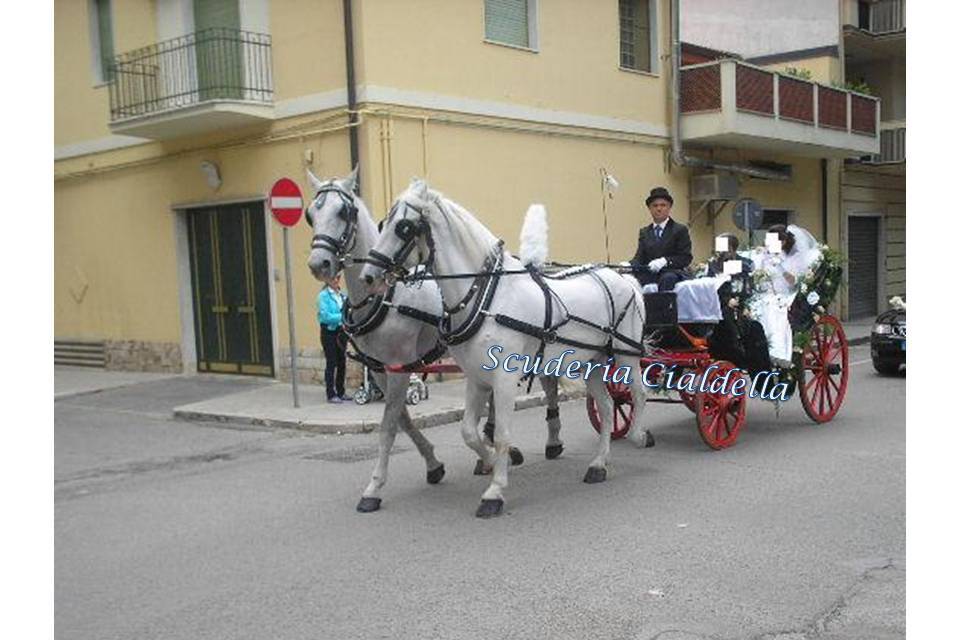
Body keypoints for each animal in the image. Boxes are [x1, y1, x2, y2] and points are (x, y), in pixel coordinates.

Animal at [306, 171, 564, 516]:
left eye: (343, 212)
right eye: (310, 215)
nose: (319, 263)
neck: (387, 298)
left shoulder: (399, 366)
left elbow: (389, 426)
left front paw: (374, 487)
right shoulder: (380, 370)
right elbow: (402, 419)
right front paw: (433, 463)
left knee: (548, 385)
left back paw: (550, 441)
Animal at [360, 178, 652, 516]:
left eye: (404, 227)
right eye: (384, 224)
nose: (368, 276)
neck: (489, 298)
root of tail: (622, 278)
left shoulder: (504, 378)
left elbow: (500, 434)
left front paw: (495, 491)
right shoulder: (476, 378)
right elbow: (469, 432)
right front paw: (491, 463)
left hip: (625, 355)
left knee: (637, 394)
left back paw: (638, 435)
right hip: (590, 363)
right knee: (606, 407)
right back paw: (598, 464)